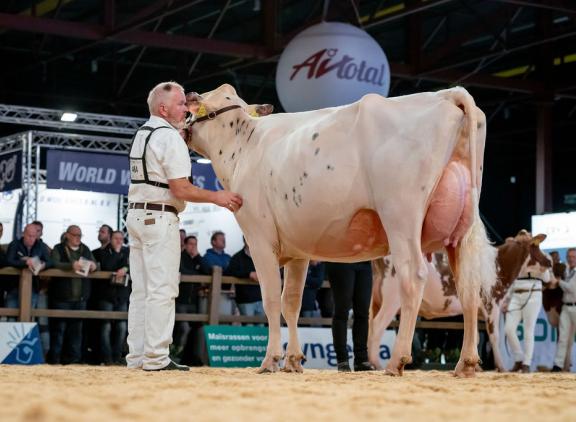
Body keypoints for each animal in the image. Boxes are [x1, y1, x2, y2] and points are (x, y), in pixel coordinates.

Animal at [184, 84, 496, 378]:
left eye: (197, 104)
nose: (183, 119)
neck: (244, 145)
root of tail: (446, 94)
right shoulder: (299, 250)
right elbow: (292, 302)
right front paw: (293, 361)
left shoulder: (259, 236)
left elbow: (271, 299)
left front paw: (271, 360)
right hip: (462, 230)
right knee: (469, 288)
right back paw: (466, 364)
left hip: (401, 215)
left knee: (413, 276)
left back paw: (396, 361)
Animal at [368, 229, 552, 370]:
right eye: (536, 245)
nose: (550, 262)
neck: (498, 265)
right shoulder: (491, 305)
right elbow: (494, 337)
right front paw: (501, 367)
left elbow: (475, 335)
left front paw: (473, 364)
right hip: (392, 299)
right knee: (378, 325)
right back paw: (378, 365)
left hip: (377, 298)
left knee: (371, 324)